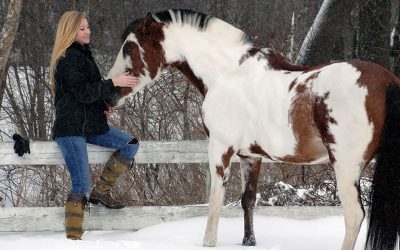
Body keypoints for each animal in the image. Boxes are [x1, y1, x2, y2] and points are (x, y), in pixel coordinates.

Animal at [106, 8, 400, 249]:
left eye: (129, 48)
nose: (111, 92)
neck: (227, 74)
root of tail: (387, 81)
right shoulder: (250, 156)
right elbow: (248, 201)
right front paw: (249, 242)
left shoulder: (220, 149)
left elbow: (216, 201)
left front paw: (208, 242)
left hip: (346, 166)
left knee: (354, 215)